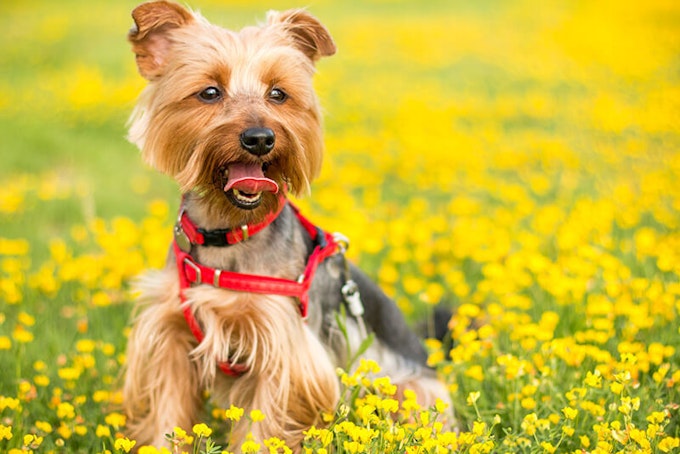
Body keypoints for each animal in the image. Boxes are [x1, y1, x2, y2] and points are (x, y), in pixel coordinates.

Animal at [122, 0, 452, 450]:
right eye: (209, 92)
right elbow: (169, 412)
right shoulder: (170, 334)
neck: (229, 233)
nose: (260, 138)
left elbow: (265, 425)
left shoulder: (285, 348)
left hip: (406, 387)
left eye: (278, 94)